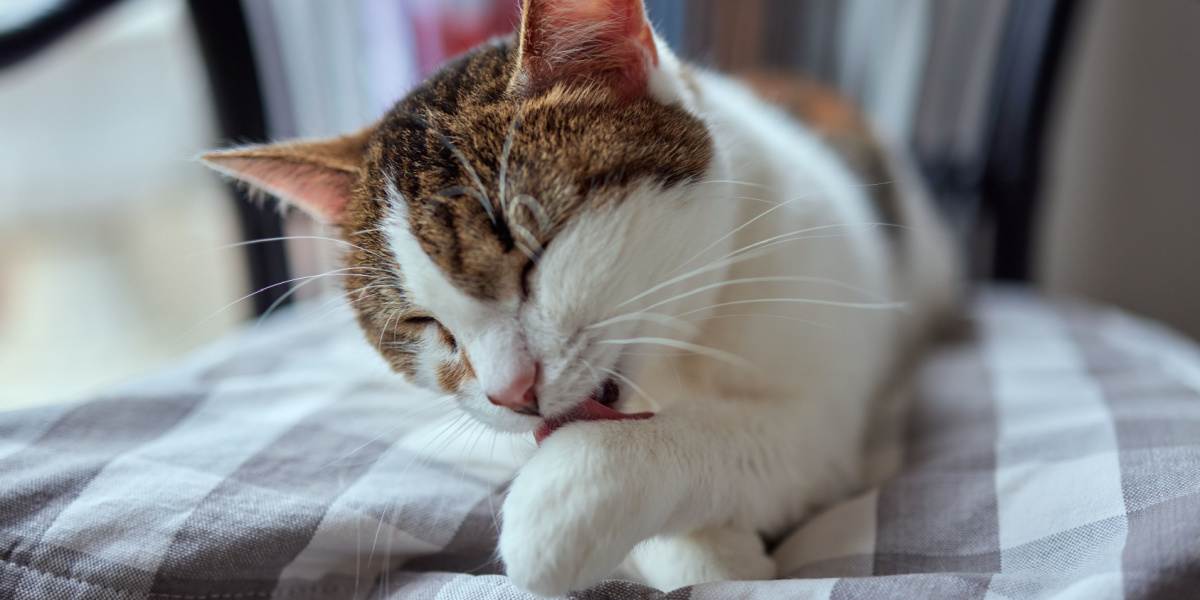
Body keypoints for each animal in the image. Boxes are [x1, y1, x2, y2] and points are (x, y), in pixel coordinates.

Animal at [204, 0, 955, 595]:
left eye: (535, 254)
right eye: (423, 322)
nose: (510, 391)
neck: (684, 351)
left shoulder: (825, 400)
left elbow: (760, 436)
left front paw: (570, 497)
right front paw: (703, 552)